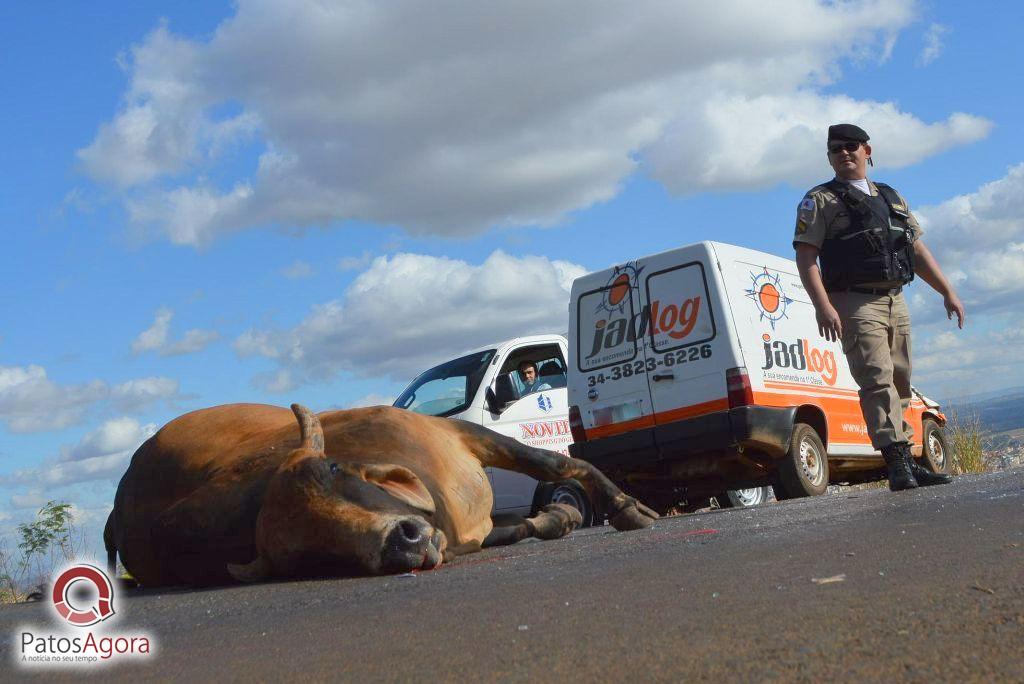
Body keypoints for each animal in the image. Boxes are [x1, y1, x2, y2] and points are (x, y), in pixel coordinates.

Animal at [105, 403, 655, 585]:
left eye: (331, 469)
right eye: (310, 554)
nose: (401, 542)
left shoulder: (464, 434)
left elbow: (560, 463)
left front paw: (628, 508)